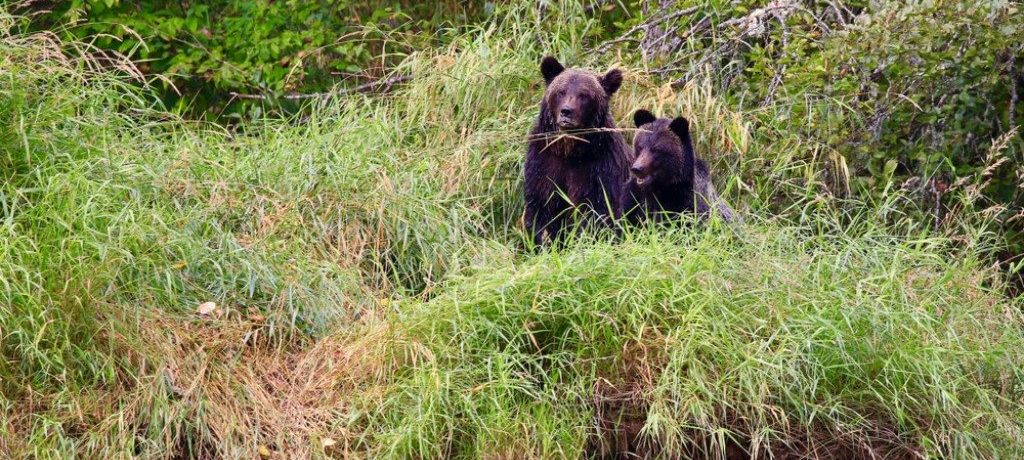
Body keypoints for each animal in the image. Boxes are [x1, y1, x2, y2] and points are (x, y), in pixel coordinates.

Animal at [528, 56, 630, 245]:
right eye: (561, 91)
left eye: (584, 95)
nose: (566, 111)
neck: (570, 150)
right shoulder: (544, 162)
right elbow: (542, 208)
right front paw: (542, 241)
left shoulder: (600, 168)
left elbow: (595, 212)